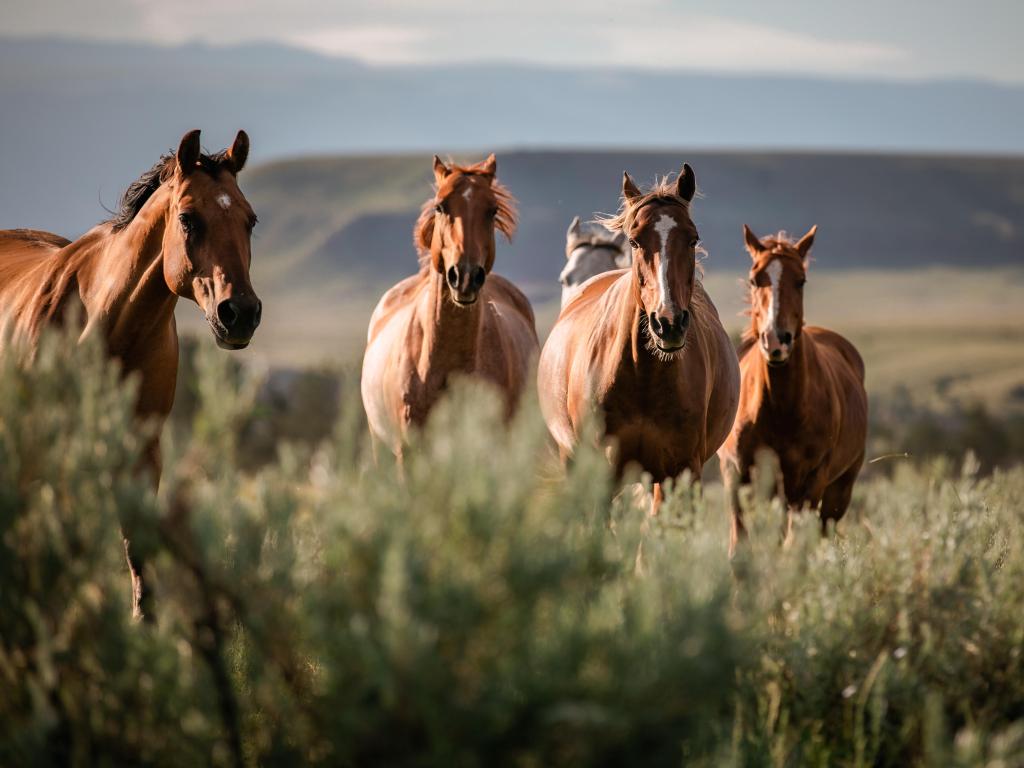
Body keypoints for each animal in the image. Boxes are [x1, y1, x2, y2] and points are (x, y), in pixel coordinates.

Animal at [1, 129, 264, 618]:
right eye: (188, 218)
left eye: (250, 220)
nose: (239, 314)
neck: (106, 326)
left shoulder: (143, 452)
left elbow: (136, 551)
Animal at [540, 163, 741, 512]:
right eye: (634, 242)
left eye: (693, 239)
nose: (668, 322)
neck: (643, 376)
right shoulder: (601, 473)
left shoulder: (682, 473)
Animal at [716, 225, 868, 557]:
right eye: (754, 279)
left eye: (801, 280)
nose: (777, 340)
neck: (781, 410)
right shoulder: (736, 477)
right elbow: (740, 547)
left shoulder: (811, 483)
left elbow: (793, 548)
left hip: (837, 491)